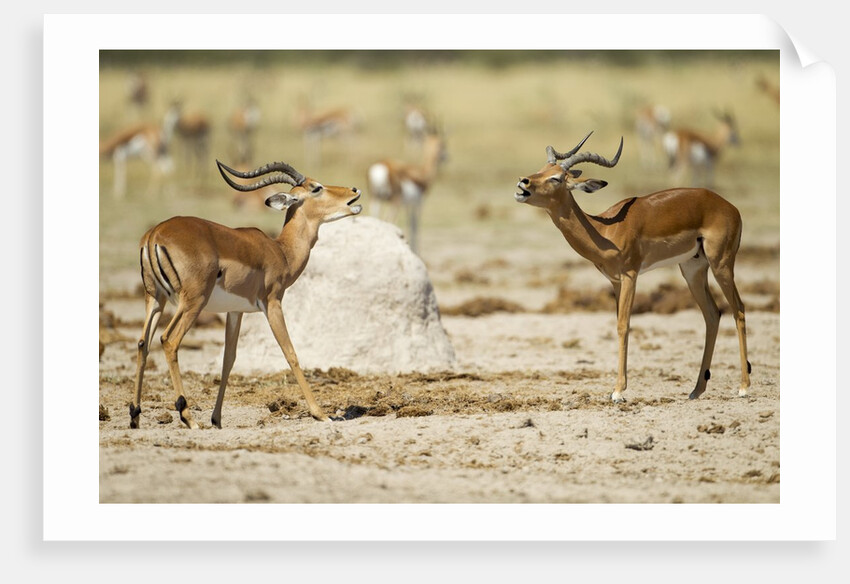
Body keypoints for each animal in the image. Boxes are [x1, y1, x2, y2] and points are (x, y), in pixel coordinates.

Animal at [130, 159, 363, 429]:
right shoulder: (272, 303)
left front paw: (217, 419)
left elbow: (228, 359)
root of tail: (153, 235)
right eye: (316, 187)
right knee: (169, 340)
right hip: (192, 303)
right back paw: (188, 417)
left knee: (142, 343)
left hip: (155, 300)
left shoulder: (235, 311)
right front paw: (321, 413)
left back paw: (135, 416)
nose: (354, 190)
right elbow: (290, 353)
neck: (281, 252)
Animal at [515, 132, 750, 403]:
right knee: (712, 314)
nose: (523, 182)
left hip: (721, 263)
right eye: (542, 169)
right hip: (693, 269)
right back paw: (696, 389)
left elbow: (623, 325)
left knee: (738, 309)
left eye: (556, 178)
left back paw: (744, 387)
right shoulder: (615, 281)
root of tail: (730, 207)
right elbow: (618, 323)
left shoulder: (630, 276)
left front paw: (618, 391)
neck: (605, 231)